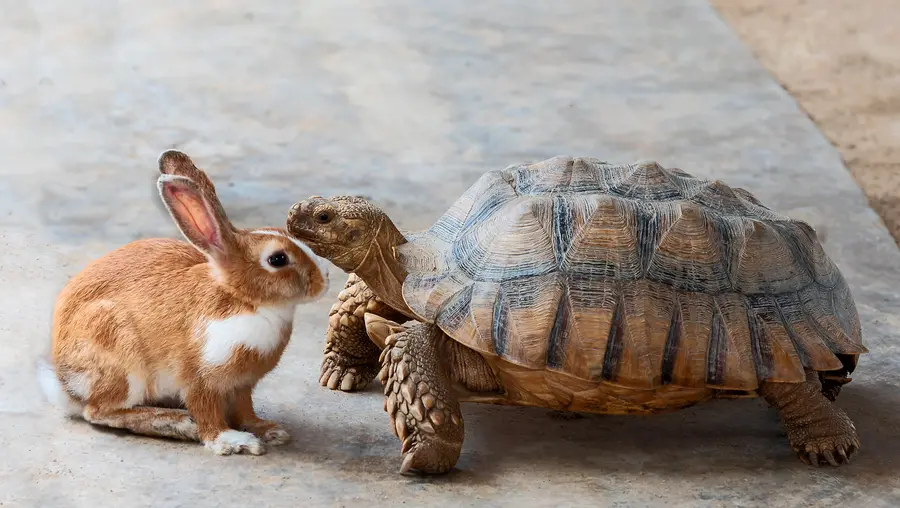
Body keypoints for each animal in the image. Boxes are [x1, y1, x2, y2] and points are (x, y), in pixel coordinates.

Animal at [37, 151, 330, 456]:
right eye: (277, 259)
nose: (325, 280)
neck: (243, 301)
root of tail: (65, 385)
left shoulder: (242, 385)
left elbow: (245, 410)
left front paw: (268, 430)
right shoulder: (199, 378)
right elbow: (207, 414)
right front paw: (231, 441)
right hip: (121, 360)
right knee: (99, 411)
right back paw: (177, 424)